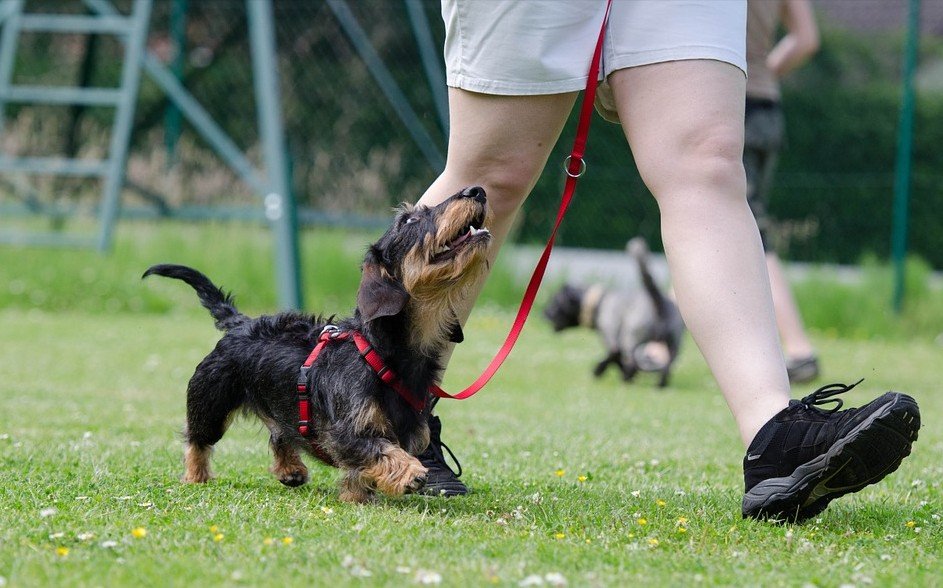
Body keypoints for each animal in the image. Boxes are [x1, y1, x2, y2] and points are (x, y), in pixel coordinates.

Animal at [148, 186, 494, 504]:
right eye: (409, 220)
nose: (476, 190)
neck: (382, 352)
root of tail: (241, 323)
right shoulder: (346, 433)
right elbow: (380, 450)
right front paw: (409, 472)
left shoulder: (411, 431)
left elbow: (362, 469)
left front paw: (357, 496)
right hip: (210, 401)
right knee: (197, 440)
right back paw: (196, 476)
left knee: (280, 434)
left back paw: (290, 469)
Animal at [544, 237, 684, 388]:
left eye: (554, 301)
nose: (544, 313)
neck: (599, 302)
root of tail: (658, 300)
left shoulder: (611, 338)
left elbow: (614, 356)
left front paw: (599, 370)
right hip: (673, 344)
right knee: (667, 366)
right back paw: (659, 384)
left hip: (631, 338)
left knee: (633, 361)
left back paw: (626, 378)